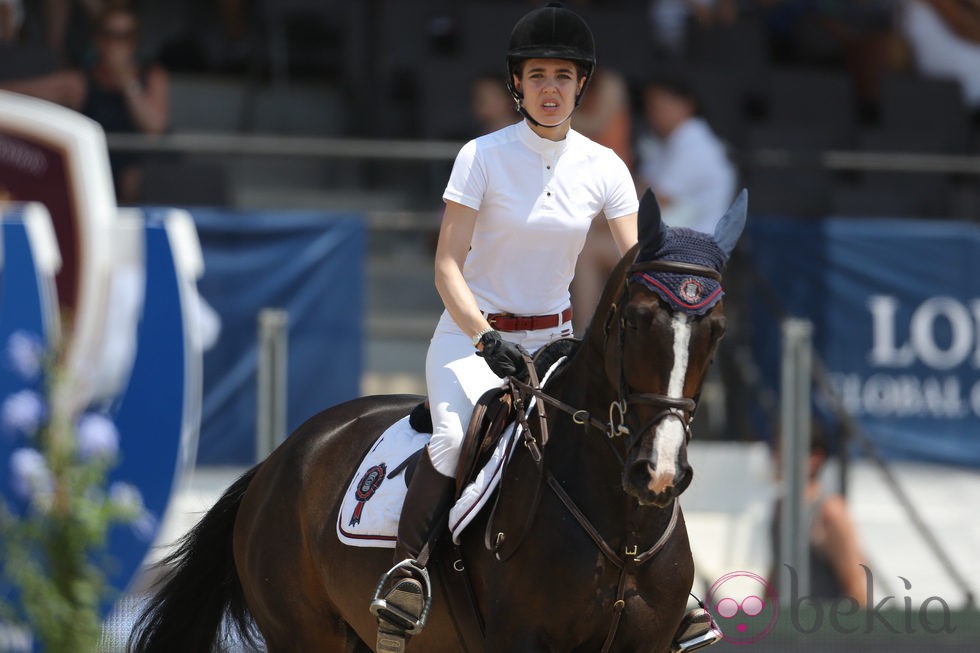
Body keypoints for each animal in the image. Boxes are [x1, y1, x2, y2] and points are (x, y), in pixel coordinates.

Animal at [126, 188, 748, 652]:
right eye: (637, 320)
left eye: (718, 331)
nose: (658, 473)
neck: (622, 530)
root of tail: (281, 458)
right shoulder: (523, 642)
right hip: (304, 634)